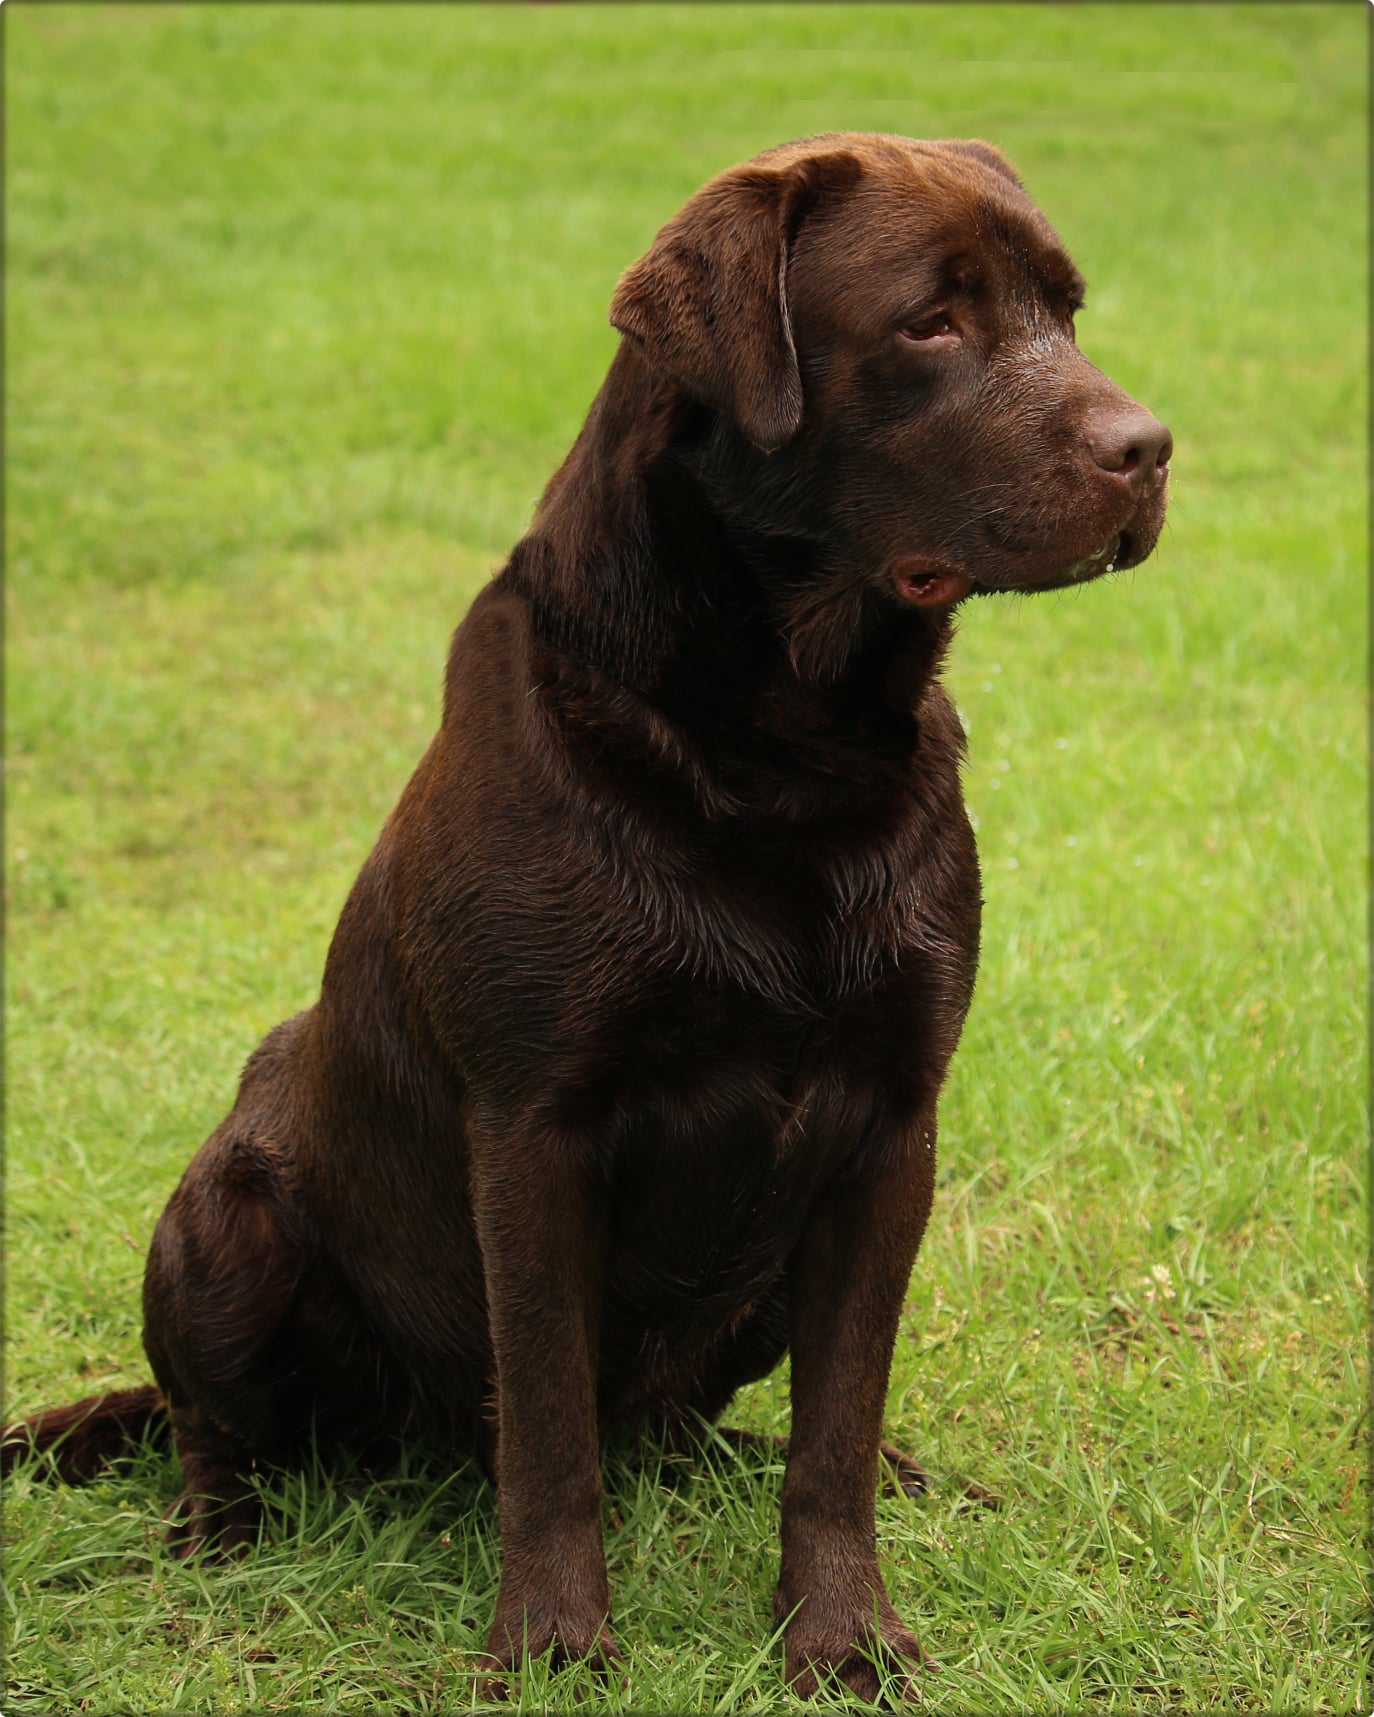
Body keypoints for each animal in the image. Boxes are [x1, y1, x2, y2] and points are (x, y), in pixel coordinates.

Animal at [8, 130, 1167, 1689]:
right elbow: (548, 1427)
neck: (783, 742)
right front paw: (554, 1645)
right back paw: (212, 1548)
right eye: (932, 321)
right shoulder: (537, 1128)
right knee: (223, 1427)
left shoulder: (889, 1127)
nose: (1149, 449)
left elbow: (835, 1431)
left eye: (1067, 309)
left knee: (698, 1428)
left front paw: (841, 1635)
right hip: (225, 1221)